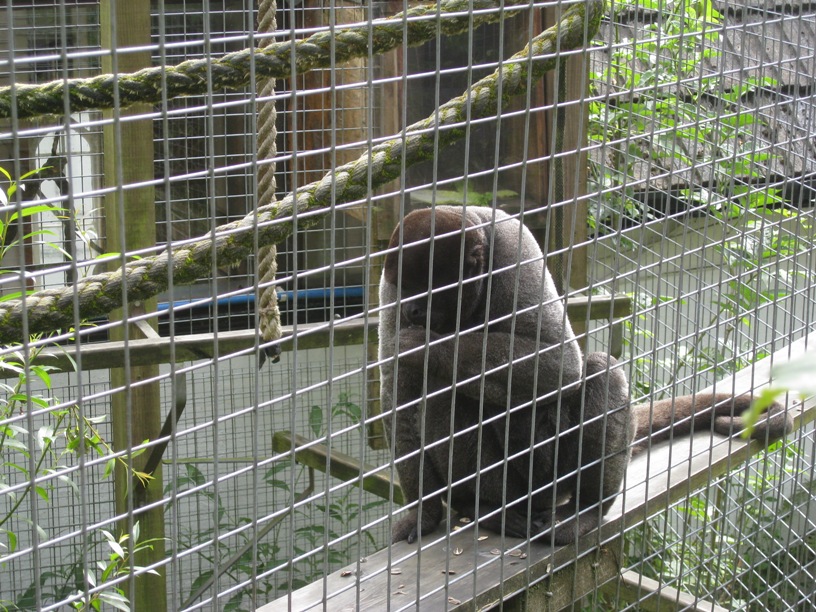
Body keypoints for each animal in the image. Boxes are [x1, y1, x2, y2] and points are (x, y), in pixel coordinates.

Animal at [378, 205, 793, 546]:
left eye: (427, 290)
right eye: (405, 288)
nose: (413, 311)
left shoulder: (515, 248)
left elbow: (560, 363)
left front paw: (423, 346)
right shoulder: (388, 290)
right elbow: (398, 403)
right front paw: (423, 512)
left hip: (550, 472)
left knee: (601, 370)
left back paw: (585, 511)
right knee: (440, 392)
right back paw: (485, 509)